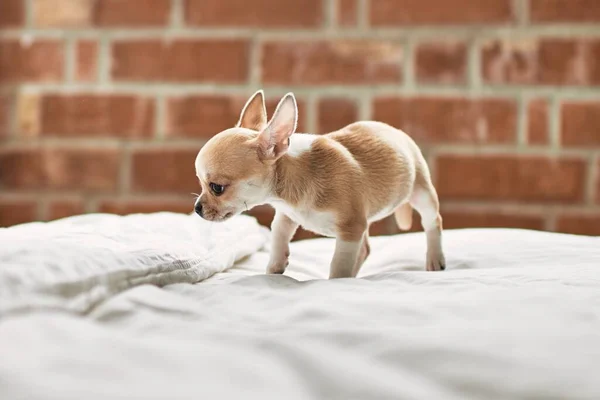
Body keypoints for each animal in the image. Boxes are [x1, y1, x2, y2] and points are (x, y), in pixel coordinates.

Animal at [196, 90, 446, 278]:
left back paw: (435, 258)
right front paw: (275, 265)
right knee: (365, 248)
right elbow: (278, 234)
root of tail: (398, 132)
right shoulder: (288, 215)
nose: (197, 208)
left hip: (421, 192)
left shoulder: (350, 229)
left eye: (216, 188)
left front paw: (337, 281)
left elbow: (339, 263)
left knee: (432, 221)